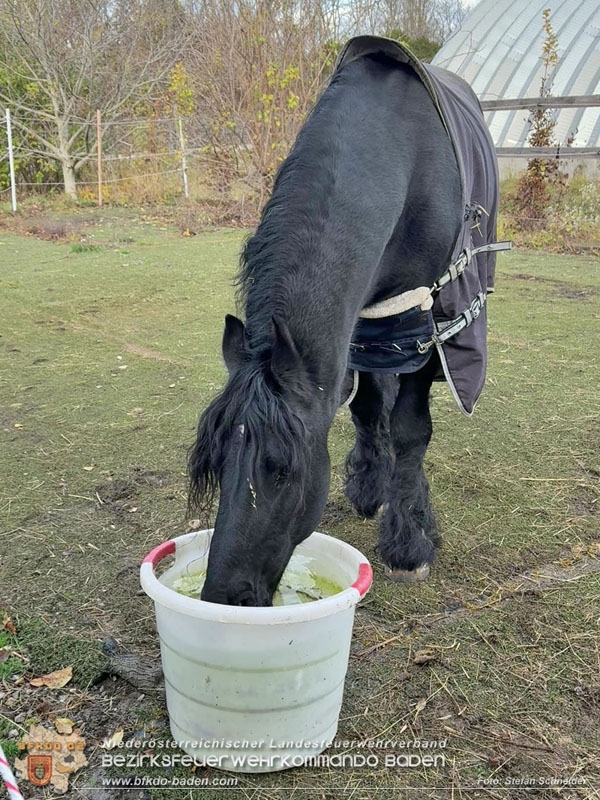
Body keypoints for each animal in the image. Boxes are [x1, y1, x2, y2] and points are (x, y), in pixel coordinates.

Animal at [189, 36, 503, 606]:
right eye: (216, 464)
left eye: (284, 471)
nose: (224, 596)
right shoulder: (359, 329)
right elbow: (365, 409)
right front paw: (371, 487)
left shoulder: (424, 324)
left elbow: (410, 430)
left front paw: (410, 543)